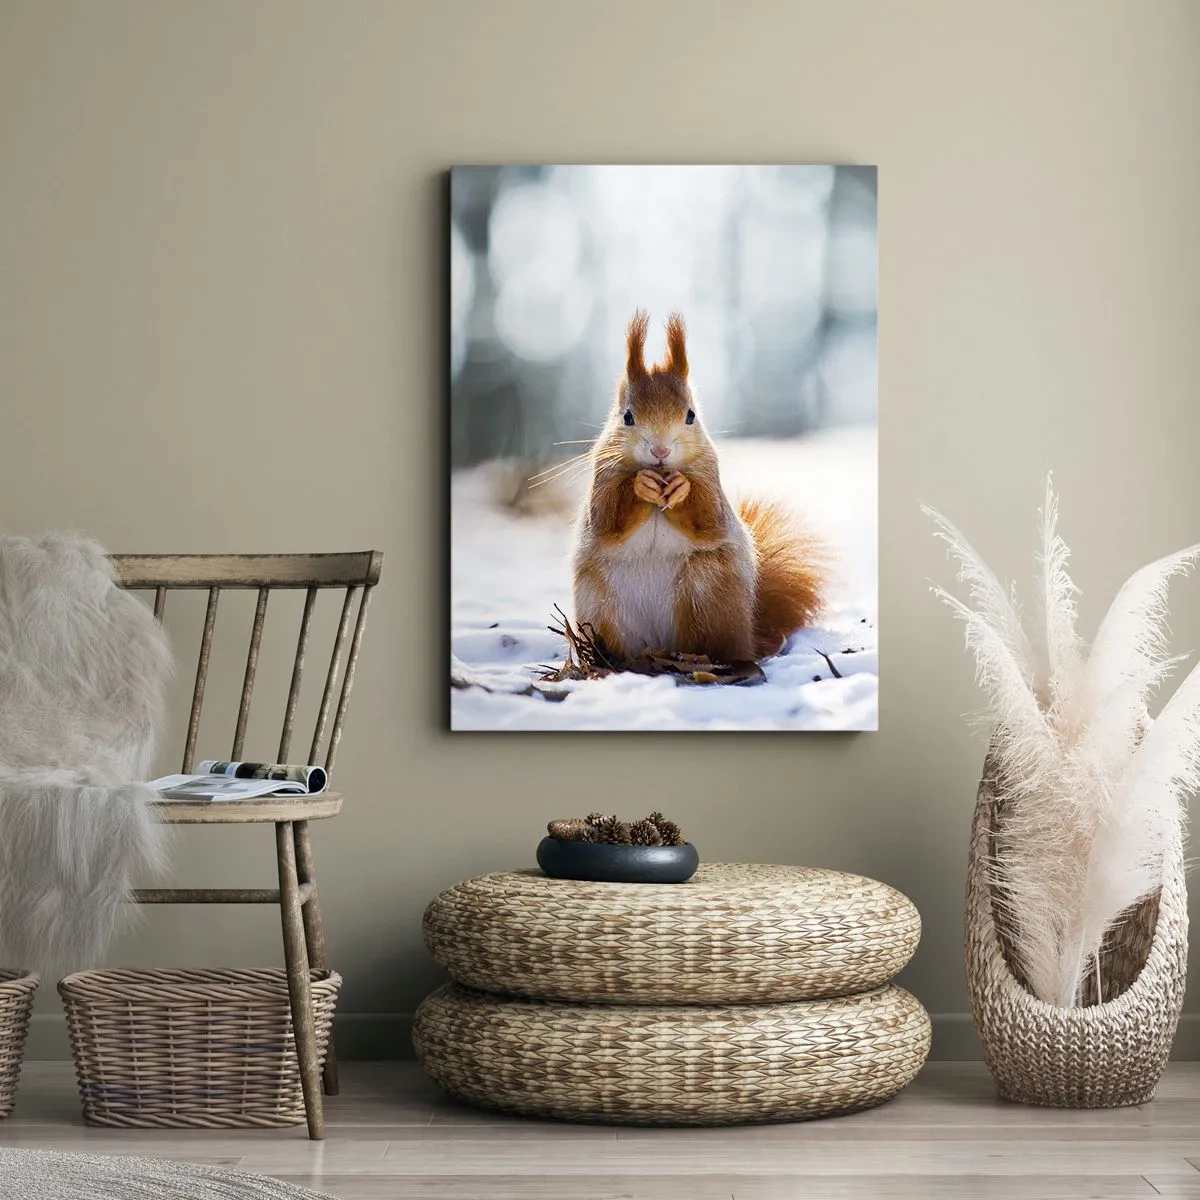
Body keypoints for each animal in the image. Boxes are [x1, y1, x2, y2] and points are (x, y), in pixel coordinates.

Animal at [571, 310, 824, 664]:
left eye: (690, 415)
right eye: (627, 417)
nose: (660, 451)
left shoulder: (710, 479)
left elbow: (709, 518)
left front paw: (682, 488)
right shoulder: (602, 477)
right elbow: (607, 519)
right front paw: (640, 485)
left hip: (706, 591)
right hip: (600, 604)